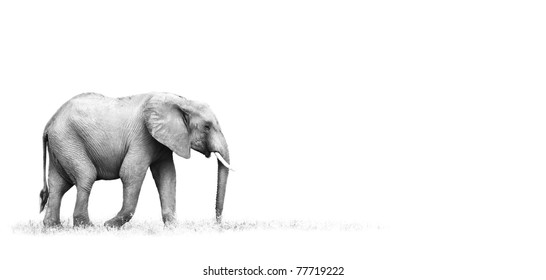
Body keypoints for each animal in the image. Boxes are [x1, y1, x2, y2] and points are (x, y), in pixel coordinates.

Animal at [38, 92, 232, 228]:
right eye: (207, 127)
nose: (217, 223)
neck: (181, 101)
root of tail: (49, 123)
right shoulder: (142, 136)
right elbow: (131, 172)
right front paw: (109, 226)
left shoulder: (162, 142)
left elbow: (167, 176)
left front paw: (173, 228)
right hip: (68, 141)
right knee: (86, 176)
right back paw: (87, 227)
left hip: (61, 146)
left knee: (58, 184)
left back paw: (53, 227)